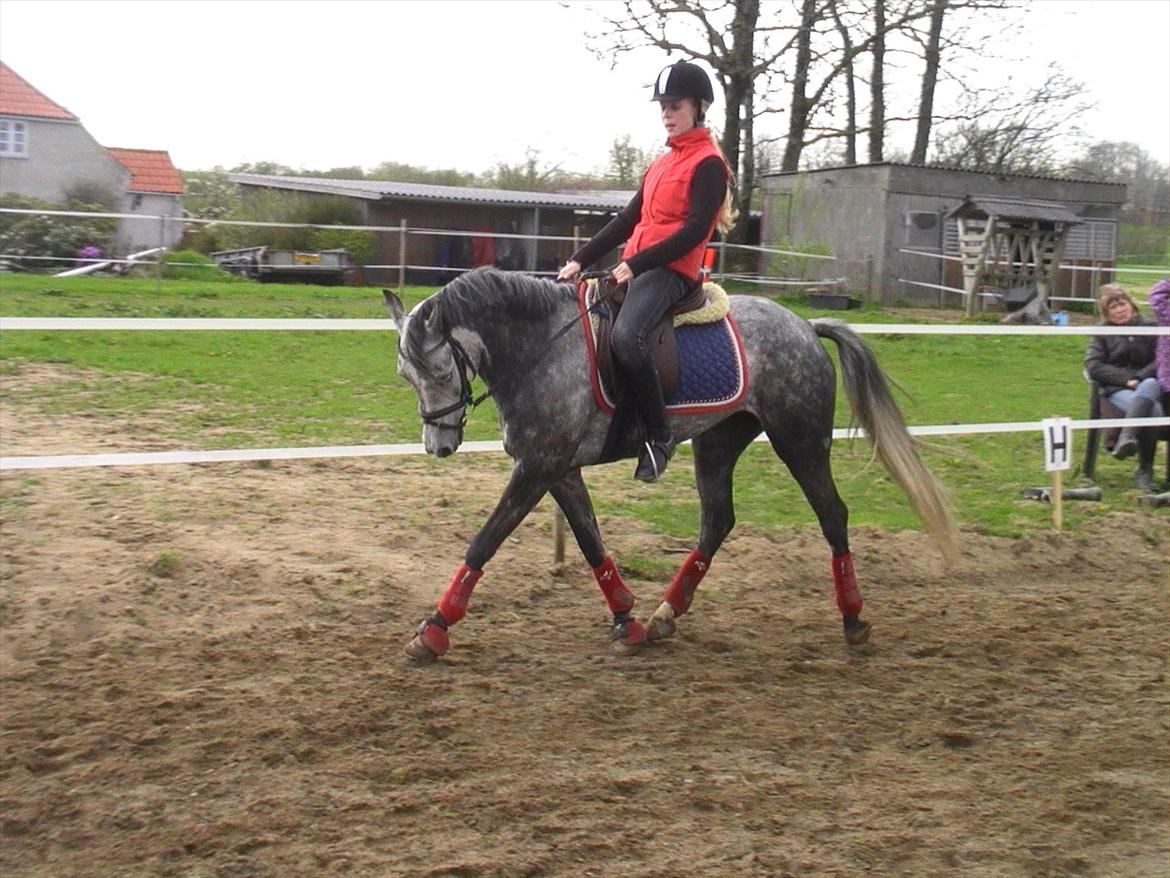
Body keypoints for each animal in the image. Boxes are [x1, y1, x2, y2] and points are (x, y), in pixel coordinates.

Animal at [383, 267, 958, 661]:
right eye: (405, 375)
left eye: (438, 370)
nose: (438, 446)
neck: (542, 347)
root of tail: (804, 325)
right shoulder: (557, 467)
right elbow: (591, 541)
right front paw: (627, 619)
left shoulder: (537, 466)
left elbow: (485, 541)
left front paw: (433, 630)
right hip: (719, 441)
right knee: (717, 520)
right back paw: (665, 615)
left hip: (800, 439)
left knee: (832, 514)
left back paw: (853, 619)